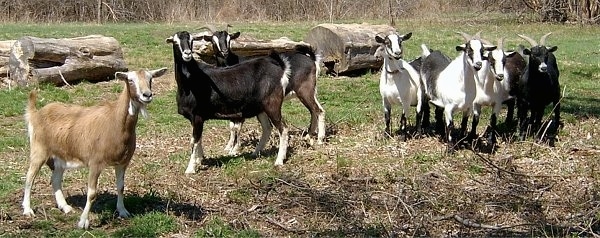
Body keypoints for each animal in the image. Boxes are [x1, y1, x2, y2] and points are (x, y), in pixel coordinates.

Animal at [22, 67, 168, 229]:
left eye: (151, 78)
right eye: (130, 80)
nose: (147, 95)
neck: (115, 122)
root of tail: (36, 113)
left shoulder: (123, 162)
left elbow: (121, 187)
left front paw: (123, 211)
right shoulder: (95, 163)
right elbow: (92, 193)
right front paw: (83, 222)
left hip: (60, 155)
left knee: (55, 179)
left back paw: (65, 207)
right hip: (39, 149)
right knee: (29, 177)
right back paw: (28, 210)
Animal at [166, 31, 296, 173]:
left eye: (191, 40)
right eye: (175, 42)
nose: (187, 54)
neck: (190, 81)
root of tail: (281, 68)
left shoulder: (197, 115)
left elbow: (194, 140)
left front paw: (190, 168)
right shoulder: (194, 118)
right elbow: (198, 139)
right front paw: (199, 160)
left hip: (272, 104)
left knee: (283, 128)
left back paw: (279, 160)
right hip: (260, 108)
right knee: (267, 128)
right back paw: (255, 153)